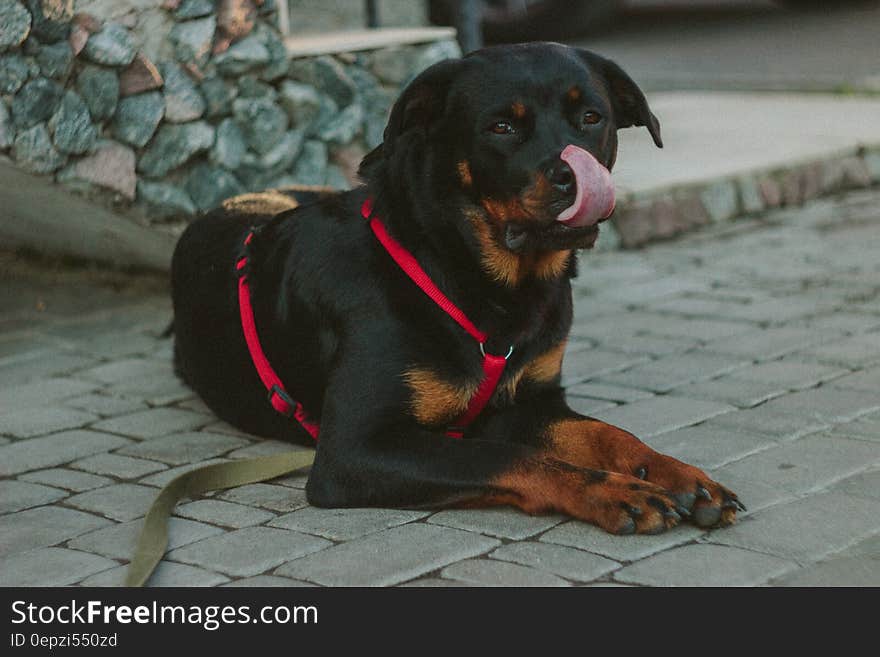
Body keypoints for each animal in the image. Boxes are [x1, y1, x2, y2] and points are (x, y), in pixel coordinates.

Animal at [170, 42, 744, 532]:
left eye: (591, 118)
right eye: (501, 126)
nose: (571, 176)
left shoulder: (533, 400)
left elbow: (607, 432)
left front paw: (676, 473)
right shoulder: (353, 449)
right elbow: (509, 456)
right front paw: (612, 491)